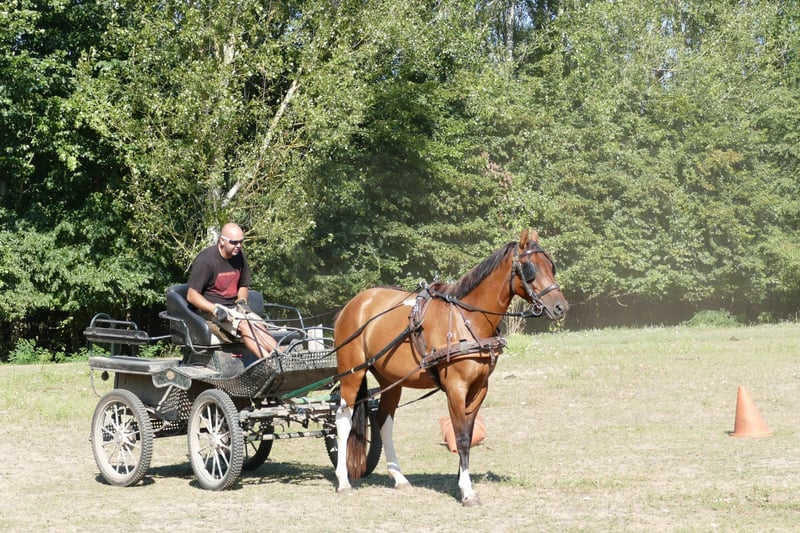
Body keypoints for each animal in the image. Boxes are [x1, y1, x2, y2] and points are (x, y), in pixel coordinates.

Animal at [332, 228, 568, 506]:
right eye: (531, 269)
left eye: (551, 266)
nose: (560, 307)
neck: (466, 320)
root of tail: (353, 305)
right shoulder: (456, 387)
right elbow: (461, 436)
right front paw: (467, 491)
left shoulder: (480, 388)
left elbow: (468, 430)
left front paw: (463, 479)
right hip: (352, 372)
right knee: (343, 419)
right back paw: (343, 481)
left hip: (391, 380)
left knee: (384, 421)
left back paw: (399, 477)